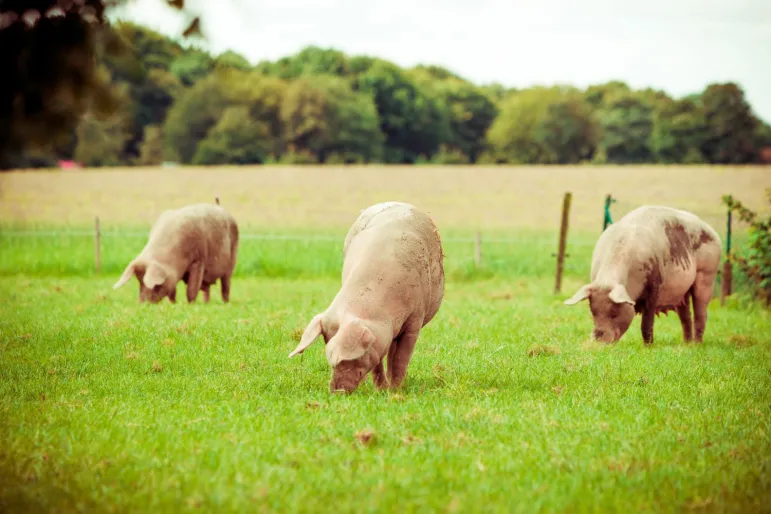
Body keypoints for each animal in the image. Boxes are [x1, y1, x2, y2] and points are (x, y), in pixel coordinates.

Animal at [286, 200, 444, 392]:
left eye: (349, 358)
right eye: (327, 343)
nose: (337, 391)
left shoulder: (415, 318)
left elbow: (401, 358)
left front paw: (395, 391)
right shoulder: (377, 336)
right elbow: (378, 360)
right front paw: (381, 389)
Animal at [564, 204, 720, 344]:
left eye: (614, 312)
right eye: (592, 311)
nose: (597, 340)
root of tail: (714, 232)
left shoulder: (655, 286)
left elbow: (646, 322)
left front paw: (648, 347)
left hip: (707, 275)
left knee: (701, 314)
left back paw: (697, 345)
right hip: (683, 291)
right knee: (685, 316)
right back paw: (686, 344)